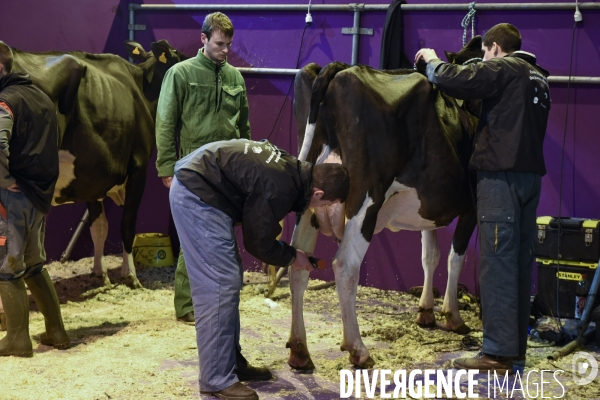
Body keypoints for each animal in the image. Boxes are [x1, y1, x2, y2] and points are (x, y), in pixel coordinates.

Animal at [9, 41, 186, 288]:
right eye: (180, 56)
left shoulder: (91, 177)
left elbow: (98, 227)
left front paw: (99, 274)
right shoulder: (138, 167)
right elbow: (127, 224)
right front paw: (130, 275)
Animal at [284, 40, 482, 368]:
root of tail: (343, 68)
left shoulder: (428, 210)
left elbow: (430, 256)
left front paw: (426, 311)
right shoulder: (473, 208)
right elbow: (456, 258)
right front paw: (452, 315)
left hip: (309, 199)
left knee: (298, 265)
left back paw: (300, 349)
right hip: (365, 200)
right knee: (345, 265)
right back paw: (358, 349)